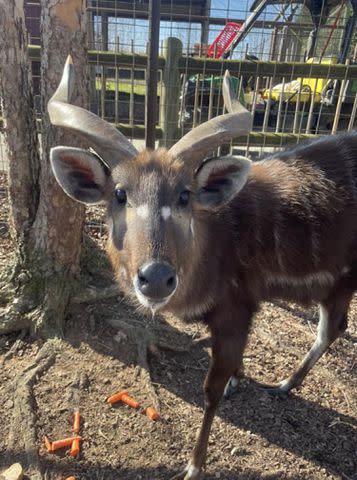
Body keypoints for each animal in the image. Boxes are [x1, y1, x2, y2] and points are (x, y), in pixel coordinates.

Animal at [48, 57, 356, 480]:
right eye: (120, 194)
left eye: (184, 195)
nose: (156, 278)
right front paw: (237, 382)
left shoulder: (234, 310)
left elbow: (210, 391)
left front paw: (194, 465)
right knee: (333, 329)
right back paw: (285, 384)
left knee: (332, 329)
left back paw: (284, 383)